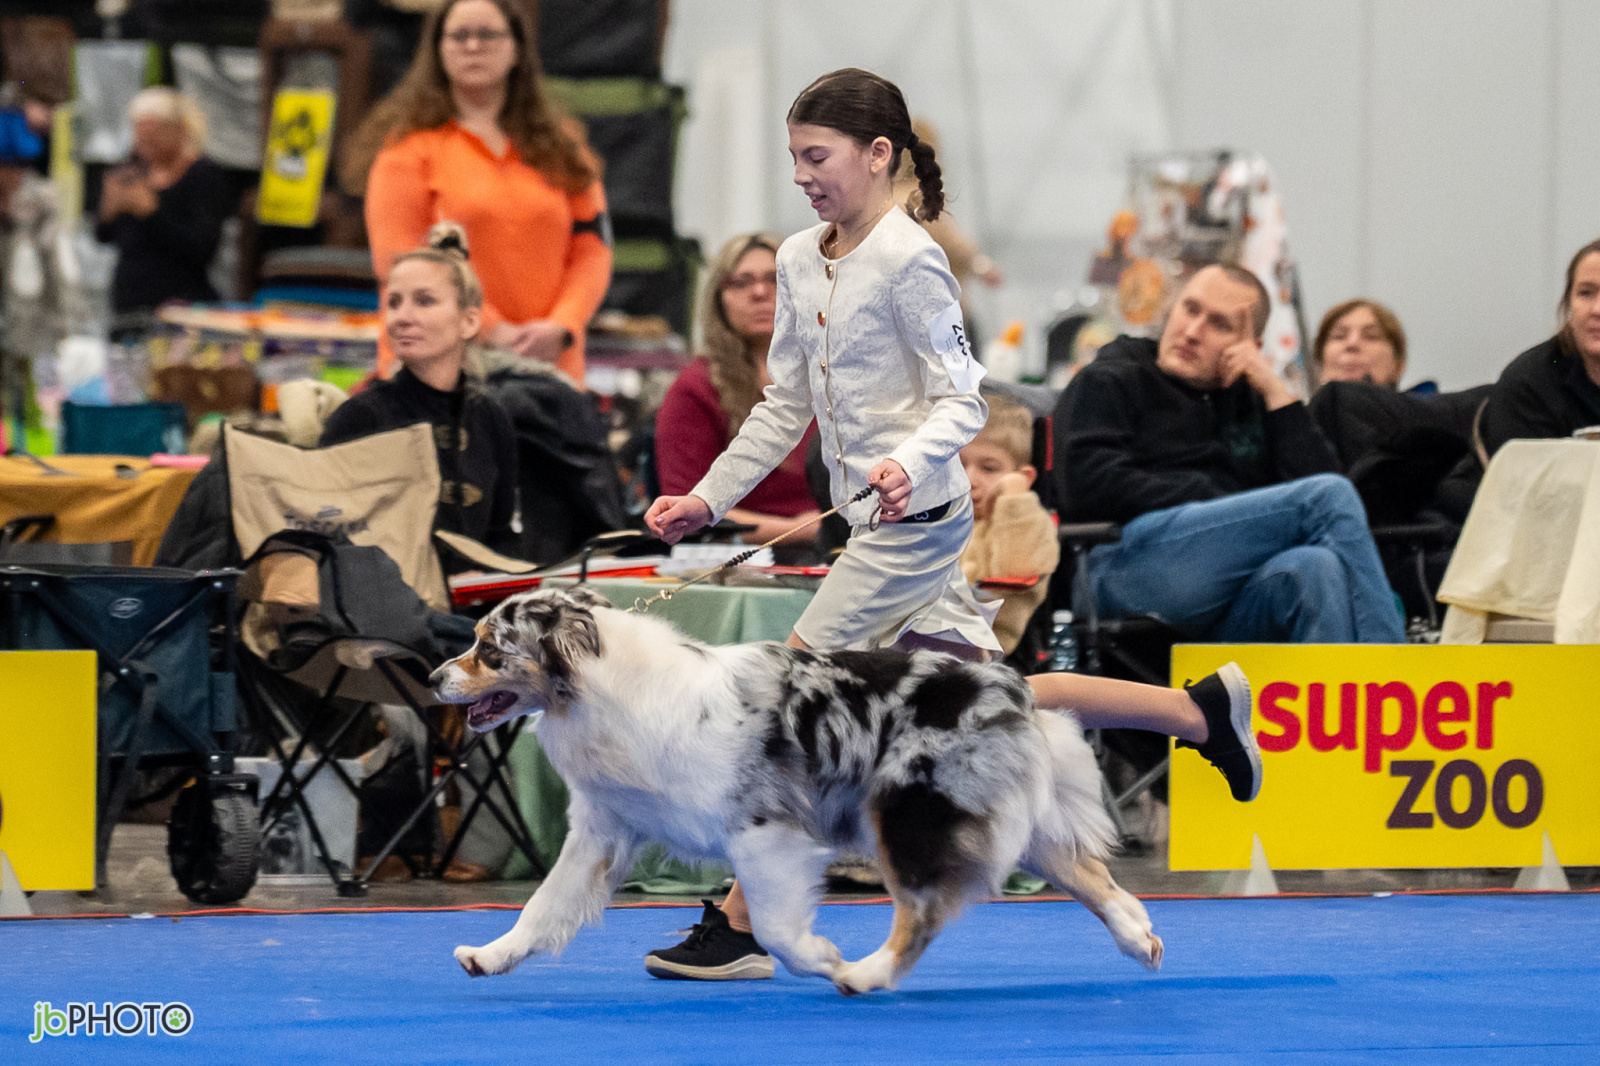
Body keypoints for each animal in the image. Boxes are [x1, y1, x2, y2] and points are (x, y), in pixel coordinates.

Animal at [430, 587, 1163, 995]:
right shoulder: (602, 832)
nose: (434, 677)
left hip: (905, 814)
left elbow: (778, 929)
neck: (597, 684)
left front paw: (820, 959)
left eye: (490, 649)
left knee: (922, 910)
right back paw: (1138, 935)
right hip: (992, 812)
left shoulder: (764, 830)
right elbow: (542, 907)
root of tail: (1013, 683)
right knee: (1084, 869)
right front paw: (490, 956)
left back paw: (866, 974)